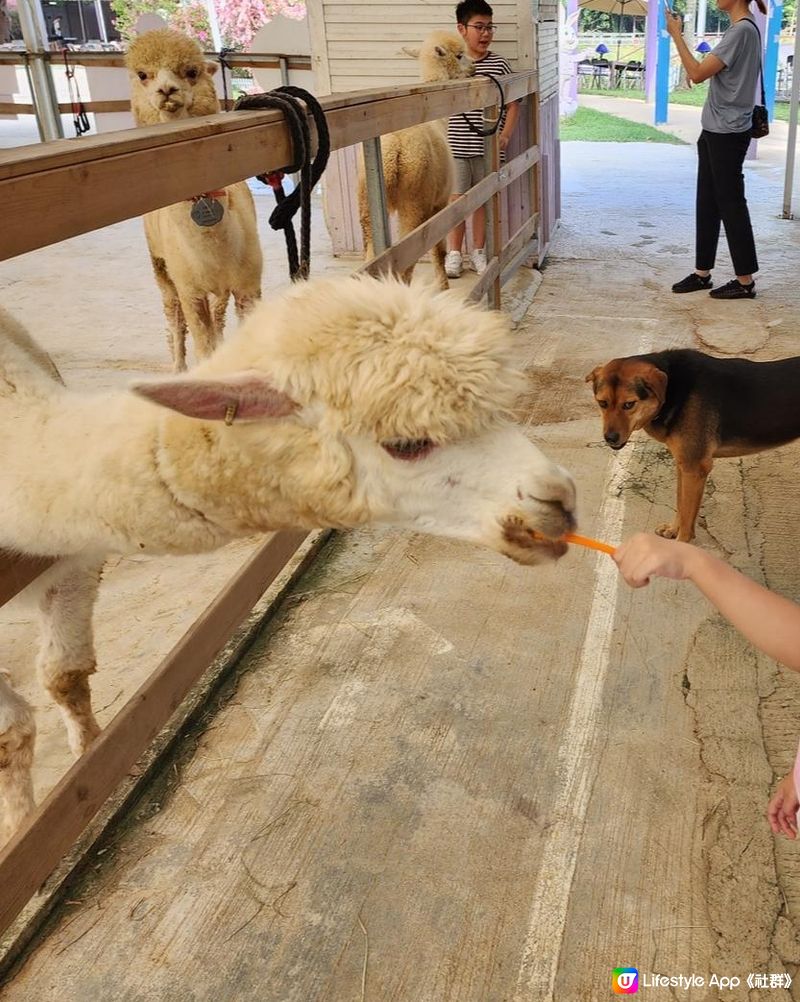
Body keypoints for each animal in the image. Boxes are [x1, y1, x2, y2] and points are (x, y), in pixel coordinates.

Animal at [585, 350, 800, 541]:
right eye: (602, 403)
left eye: (629, 404)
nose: (610, 438)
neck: (672, 390)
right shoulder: (683, 466)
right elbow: (681, 504)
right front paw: (673, 530)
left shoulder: (695, 468)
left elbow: (687, 517)